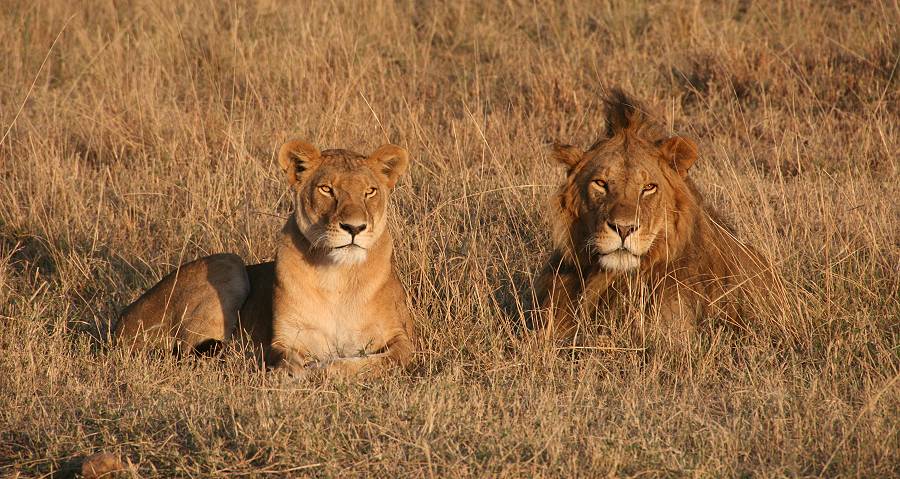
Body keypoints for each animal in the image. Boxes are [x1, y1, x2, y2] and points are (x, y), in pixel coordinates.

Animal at [113, 141, 418, 376]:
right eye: (326, 189)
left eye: (370, 191)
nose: (354, 228)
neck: (338, 275)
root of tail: (120, 321)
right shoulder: (286, 339)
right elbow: (285, 358)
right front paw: (294, 374)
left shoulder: (402, 340)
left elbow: (376, 362)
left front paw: (324, 370)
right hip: (227, 262)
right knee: (189, 352)